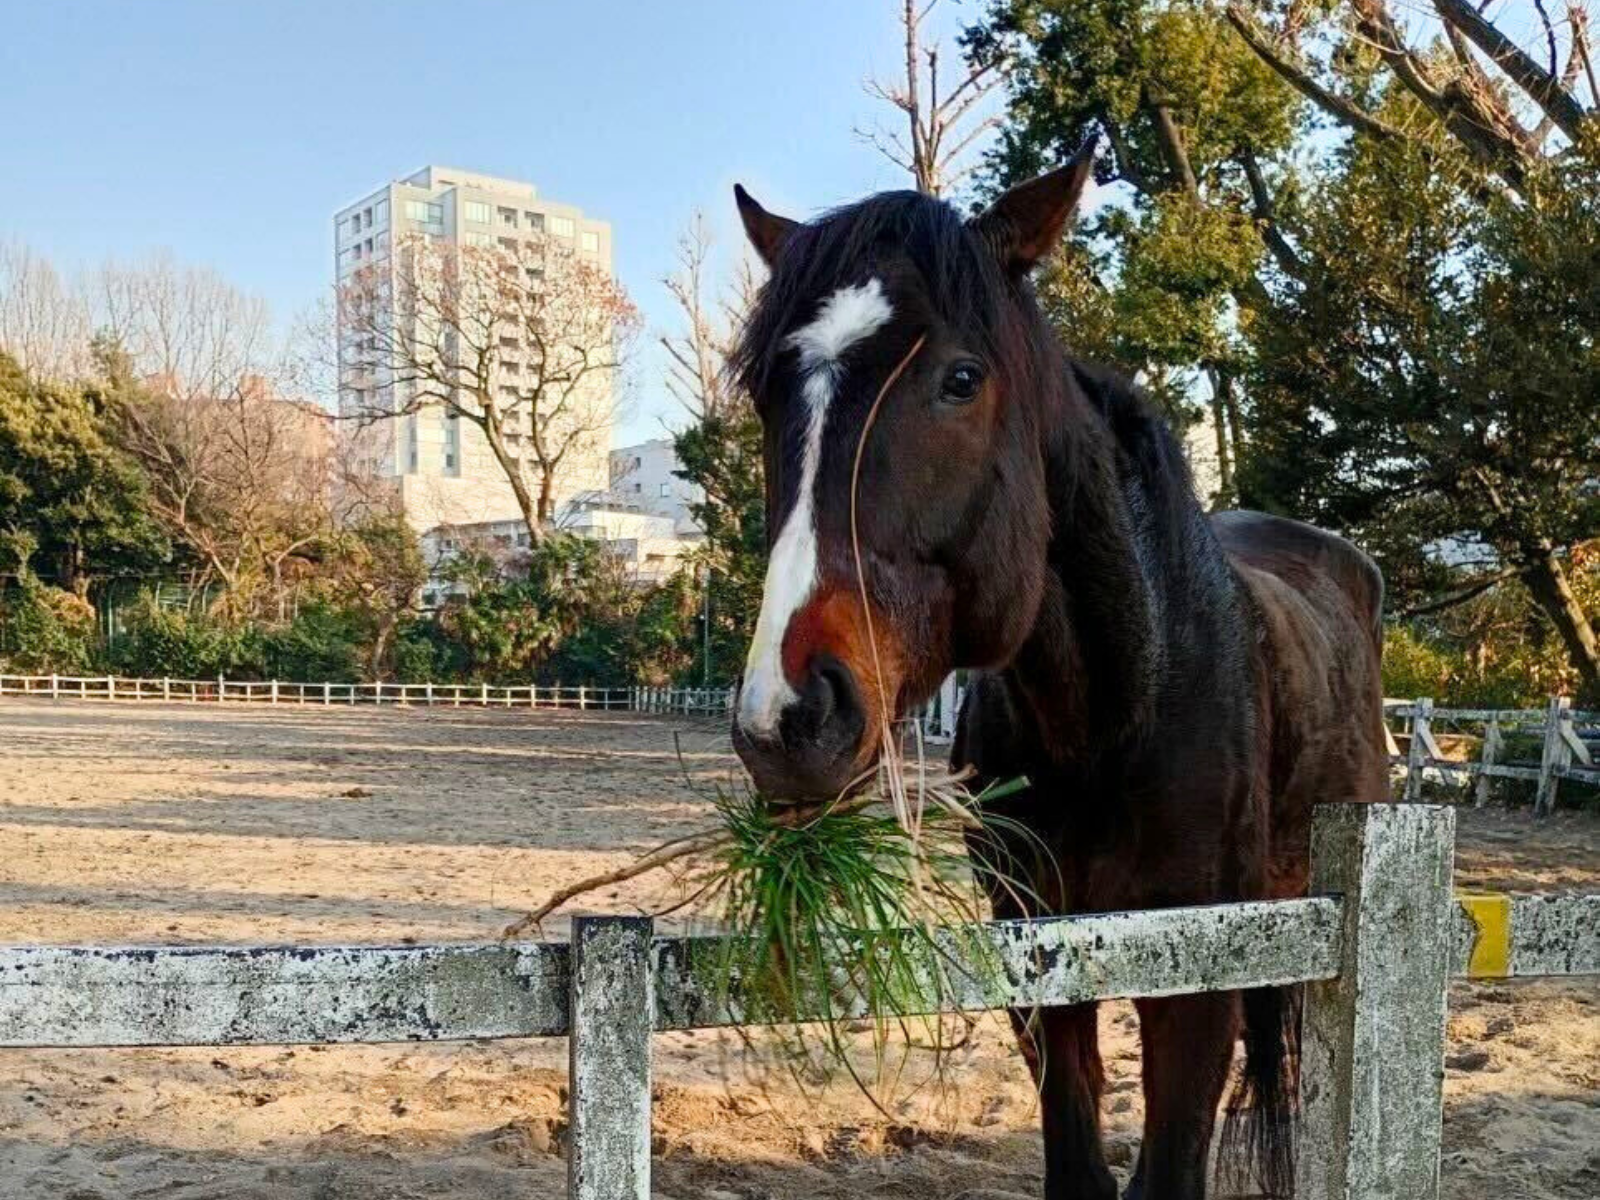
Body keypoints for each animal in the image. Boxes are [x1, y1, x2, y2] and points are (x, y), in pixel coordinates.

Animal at [725, 139, 1389, 1200]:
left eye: (961, 378)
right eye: (767, 394)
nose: (787, 714)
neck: (1122, 709)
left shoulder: (1198, 976)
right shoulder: (1037, 947)